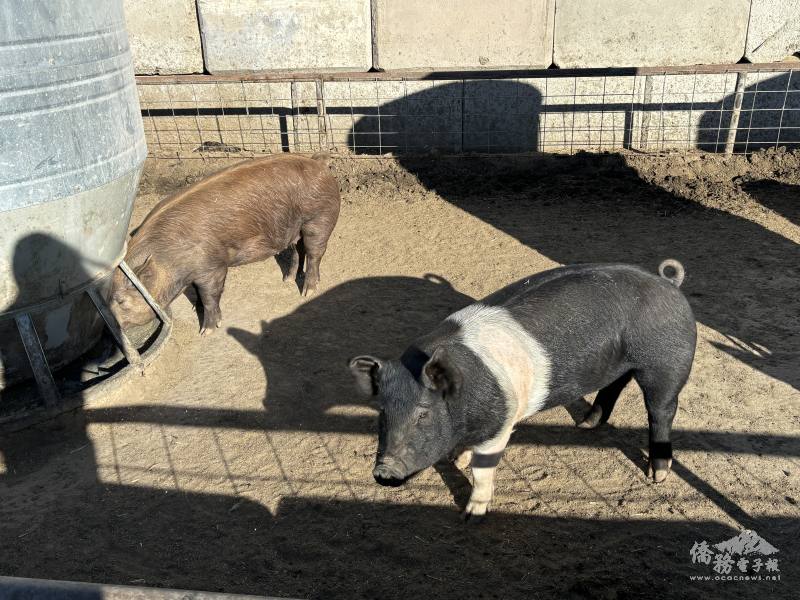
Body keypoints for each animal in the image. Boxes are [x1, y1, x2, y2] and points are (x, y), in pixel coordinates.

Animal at [110, 154, 340, 332]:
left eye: (121, 301)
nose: (114, 329)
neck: (169, 258)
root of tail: (317, 161)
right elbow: (198, 294)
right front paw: (195, 309)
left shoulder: (212, 267)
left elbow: (209, 295)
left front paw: (207, 331)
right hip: (292, 228)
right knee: (296, 251)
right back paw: (288, 279)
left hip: (319, 217)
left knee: (314, 253)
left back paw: (307, 291)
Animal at [348, 262, 692, 520]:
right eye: (383, 412)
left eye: (423, 412)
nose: (384, 472)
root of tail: (669, 284)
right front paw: (456, 459)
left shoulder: (502, 422)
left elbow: (483, 470)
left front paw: (471, 515)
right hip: (619, 364)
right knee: (614, 385)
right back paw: (585, 424)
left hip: (666, 363)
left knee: (662, 411)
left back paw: (657, 475)